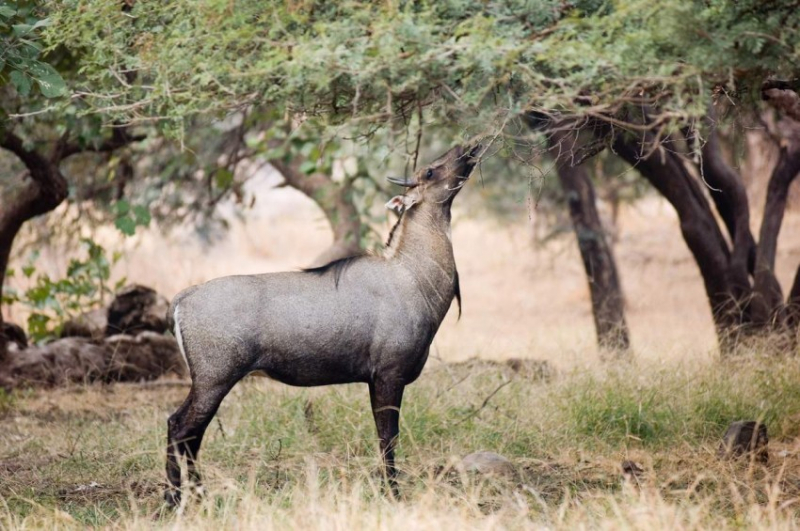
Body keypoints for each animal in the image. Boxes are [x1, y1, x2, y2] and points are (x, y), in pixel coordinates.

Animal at [164, 142, 482, 508]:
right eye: (429, 171)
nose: (467, 147)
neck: (412, 276)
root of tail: (182, 299)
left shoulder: (375, 378)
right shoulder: (389, 374)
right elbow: (388, 437)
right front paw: (393, 493)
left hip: (211, 382)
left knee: (191, 434)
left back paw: (199, 496)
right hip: (214, 378)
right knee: (179, 427)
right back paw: (173, 499)